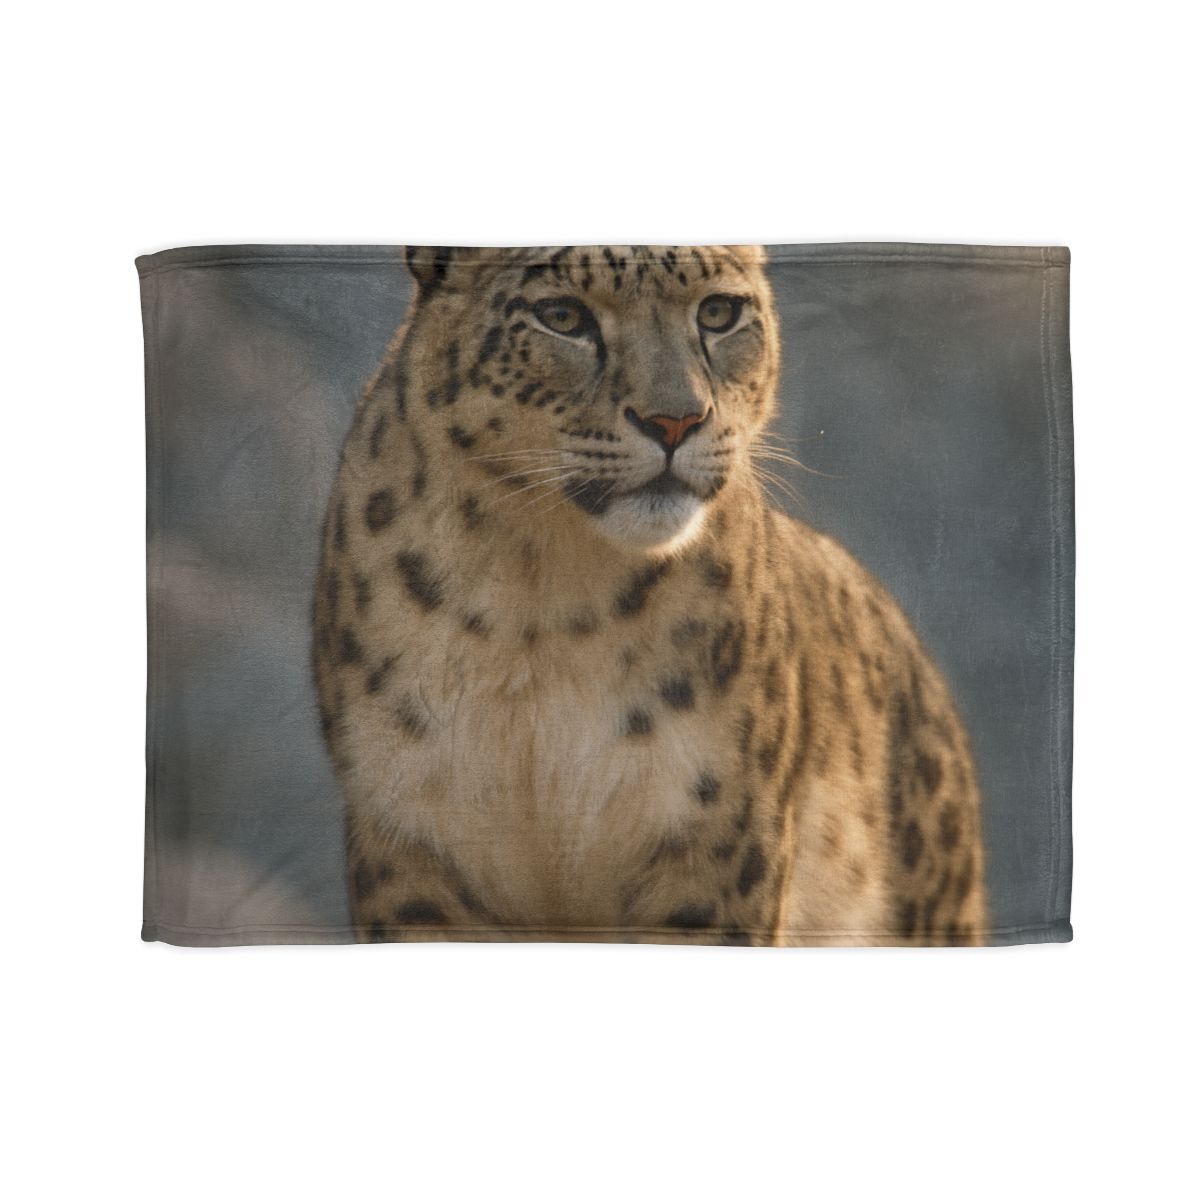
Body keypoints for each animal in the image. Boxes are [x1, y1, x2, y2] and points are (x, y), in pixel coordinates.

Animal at [312, 244, 988, 946]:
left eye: (718, 313)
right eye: (563, 316)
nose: (675, 421)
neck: (539, 598)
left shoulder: (717, 846)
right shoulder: (412, 840)